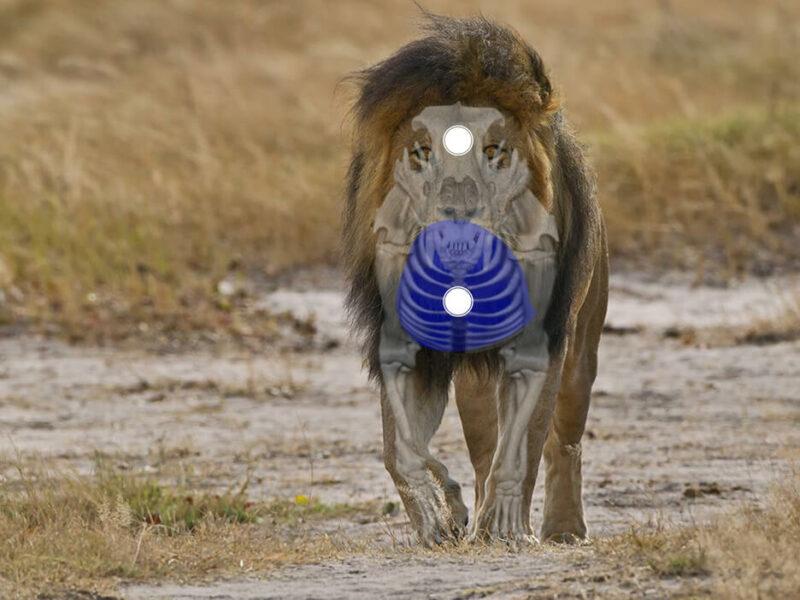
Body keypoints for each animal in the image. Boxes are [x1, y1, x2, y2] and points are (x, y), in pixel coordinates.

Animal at [342, 14, 608, 545]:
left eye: (493, 152)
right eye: (422, 154)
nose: (457, 216)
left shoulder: (540, 342)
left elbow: (527, 446)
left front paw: (505, 528)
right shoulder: (406, 346)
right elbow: (398, 451)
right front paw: (439, 515)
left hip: (582, 349)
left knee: (564, 441)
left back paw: (563, 527)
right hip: (475, 384)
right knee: (485, 448)